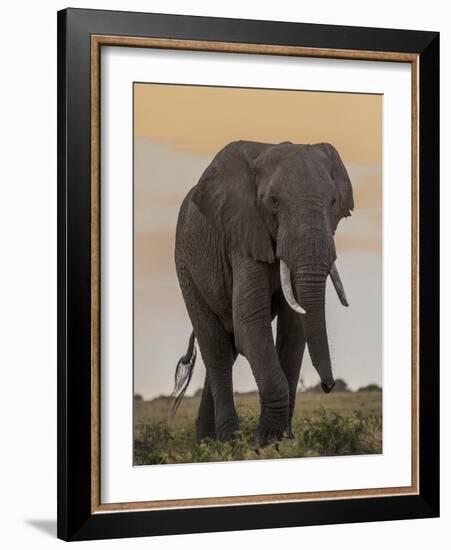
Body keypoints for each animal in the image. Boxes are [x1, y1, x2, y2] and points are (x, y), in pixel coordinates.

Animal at [172, 140, 354, 446]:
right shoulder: (243, 236)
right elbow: (250, 323)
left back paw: (207, 444)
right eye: (273, 203)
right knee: (217, 349)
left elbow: (294, 332)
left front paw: (283, 442)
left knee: (226, 348)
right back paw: (227, 442)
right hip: (186, 268)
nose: (329, 385)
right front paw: (266, 443)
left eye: (333, 203)